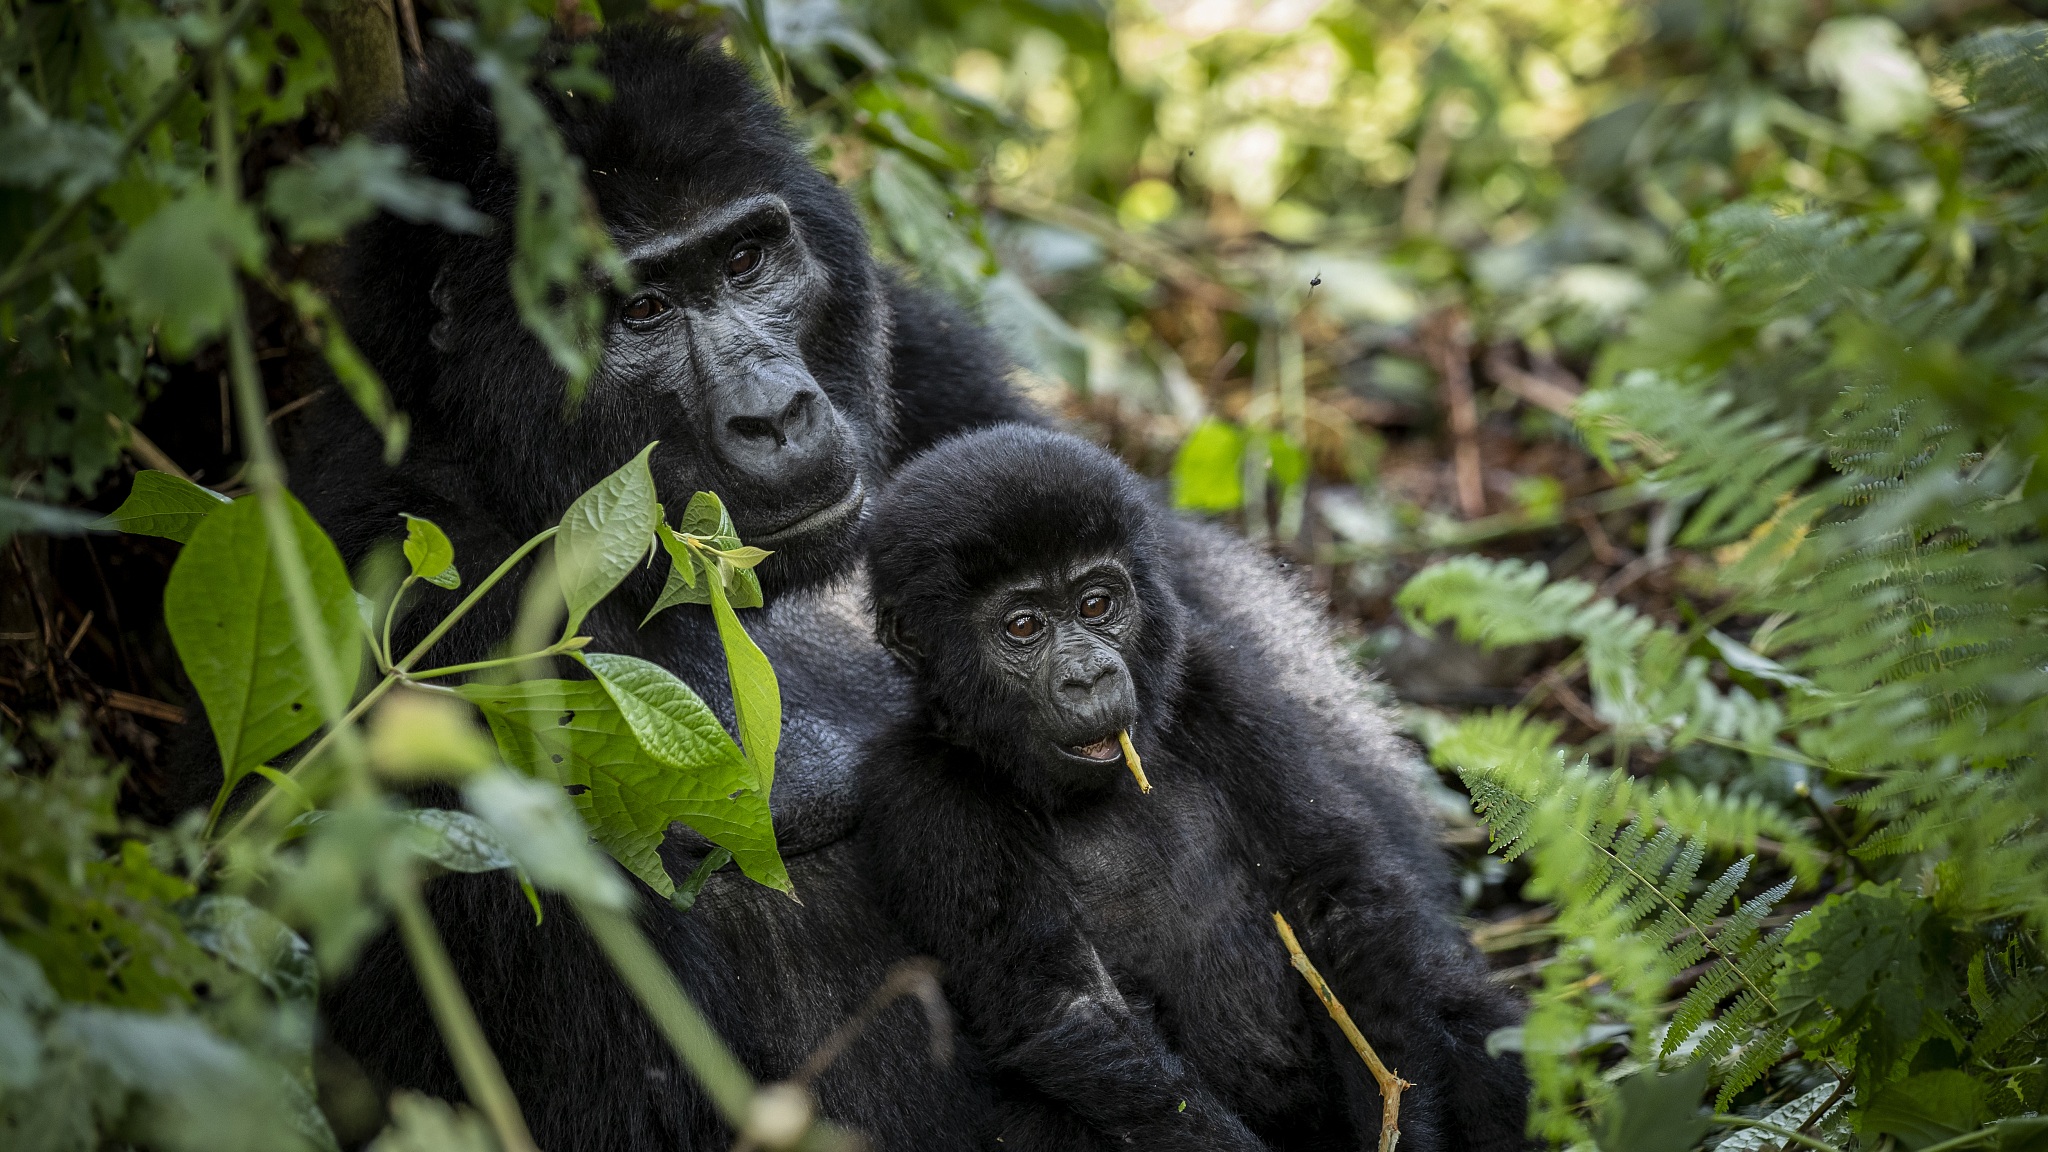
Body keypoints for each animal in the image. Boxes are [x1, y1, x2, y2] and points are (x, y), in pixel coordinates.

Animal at [856, 426, 1531, 1139]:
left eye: (1096, 604)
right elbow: (1076, 1012)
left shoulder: (1216, 679)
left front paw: (1401, 1122)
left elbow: (1331, 896)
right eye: (1022, 626)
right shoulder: (922, 791)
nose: (1090, 677)